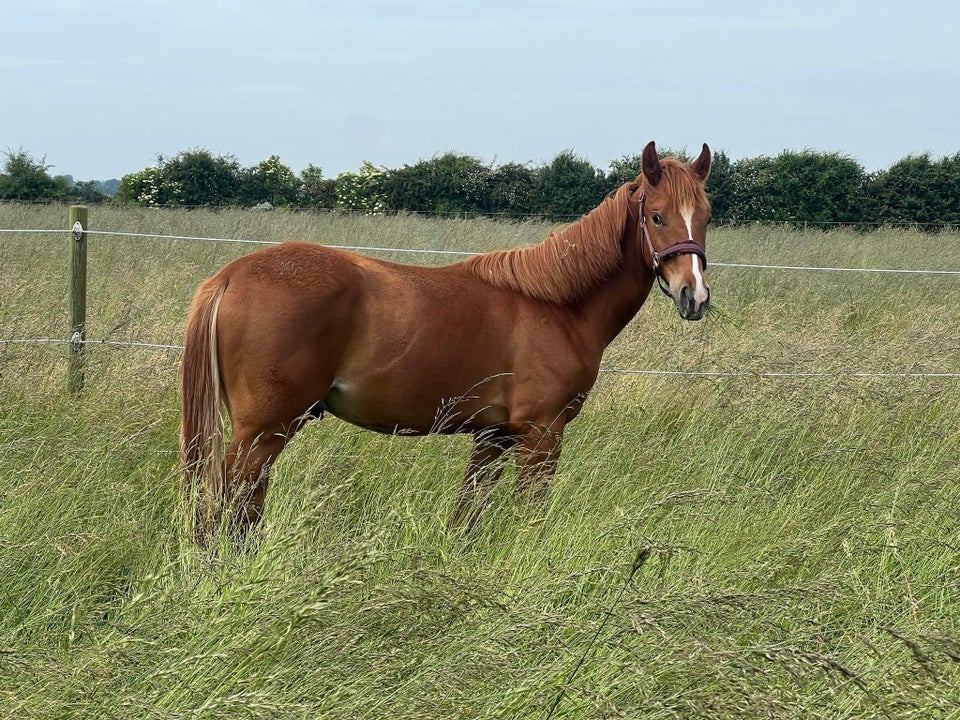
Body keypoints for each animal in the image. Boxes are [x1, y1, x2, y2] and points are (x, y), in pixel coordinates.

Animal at [180, 141, 712, 544]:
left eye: (706, 217)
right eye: (658, 216)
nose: (695, 296)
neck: (556, 304)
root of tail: (231, 276)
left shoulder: (493, 436)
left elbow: (467, 517)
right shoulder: (541, 435)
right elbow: (529, 516)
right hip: (263, 432)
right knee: (230, 508)